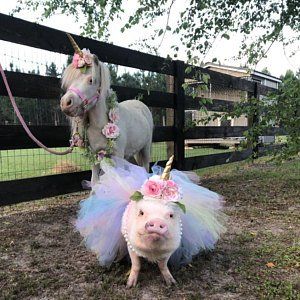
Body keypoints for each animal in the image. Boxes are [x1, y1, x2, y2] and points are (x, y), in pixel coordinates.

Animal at [59, 36, 152, 185]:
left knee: (145, 167)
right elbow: (95, 182)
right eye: (69, 82)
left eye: (91, 80)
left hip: (146, 148)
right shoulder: (95, 156)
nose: (66, 103)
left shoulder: (118, 156)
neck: (100, 126)